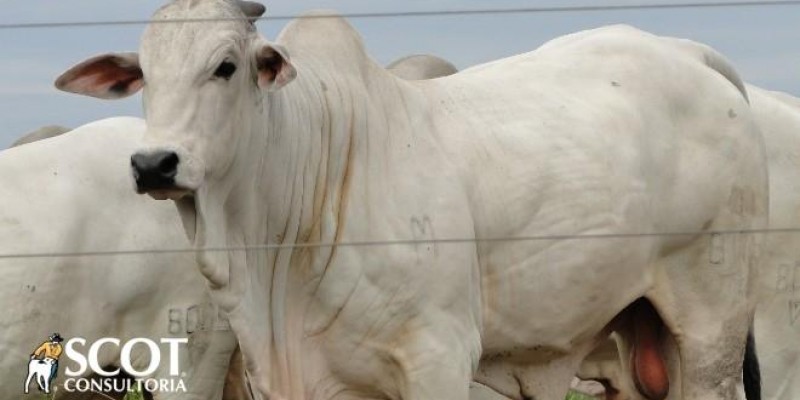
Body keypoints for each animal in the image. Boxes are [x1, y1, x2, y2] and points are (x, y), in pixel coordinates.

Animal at [56, 1, 768, 398]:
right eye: (145, 76)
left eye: (225, 67)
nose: (154, 163)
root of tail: (687, 52)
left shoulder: (440, 356)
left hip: (712, 324)